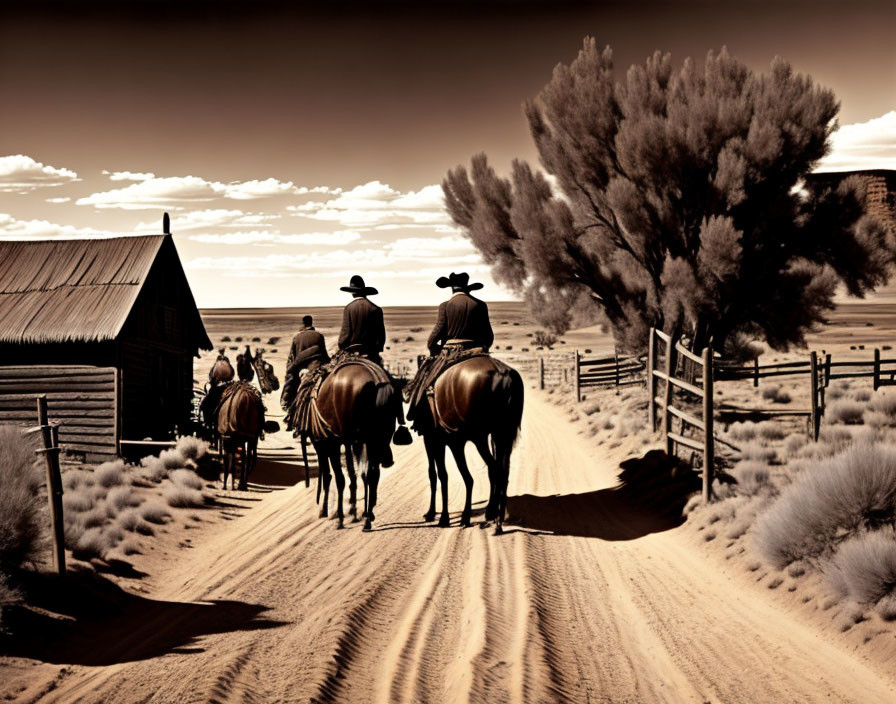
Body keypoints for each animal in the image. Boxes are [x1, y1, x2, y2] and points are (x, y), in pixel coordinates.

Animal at [312, 364, 402, 528]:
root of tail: (377, 381)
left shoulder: (330, 443)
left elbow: (337, 477)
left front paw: (338, 515)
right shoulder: (351, 443)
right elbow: (354, 474)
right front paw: (352, 511)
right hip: (375, 439)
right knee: (372, 473)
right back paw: (368, 517)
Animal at [414, 358, 524, 532]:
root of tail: (502, 374)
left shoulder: (435, 439)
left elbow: (438, 474)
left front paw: (438, 516)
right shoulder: (446, 441)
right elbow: (445, 474)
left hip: (479, 437)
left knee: (493, 469)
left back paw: (486, 516)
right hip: (501, 434)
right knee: (500, 470)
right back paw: (495, 517)